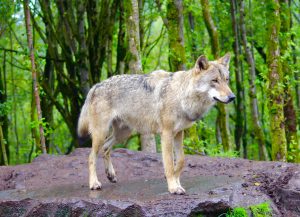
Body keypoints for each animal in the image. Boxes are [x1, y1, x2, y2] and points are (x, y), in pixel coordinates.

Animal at [77, 53, 234, 195]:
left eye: (226, 80)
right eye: (215, 80)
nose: (232, 97)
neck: (182, 95)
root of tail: (96, 86)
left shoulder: (179, 133)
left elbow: (181, 161)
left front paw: (176, 182)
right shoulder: (166, 134)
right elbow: (169, 163)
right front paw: (173, 187)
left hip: (123, 133)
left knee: (106, 148)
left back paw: (111, 175)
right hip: (101, 133)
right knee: (91, 156)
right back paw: (94, 183)